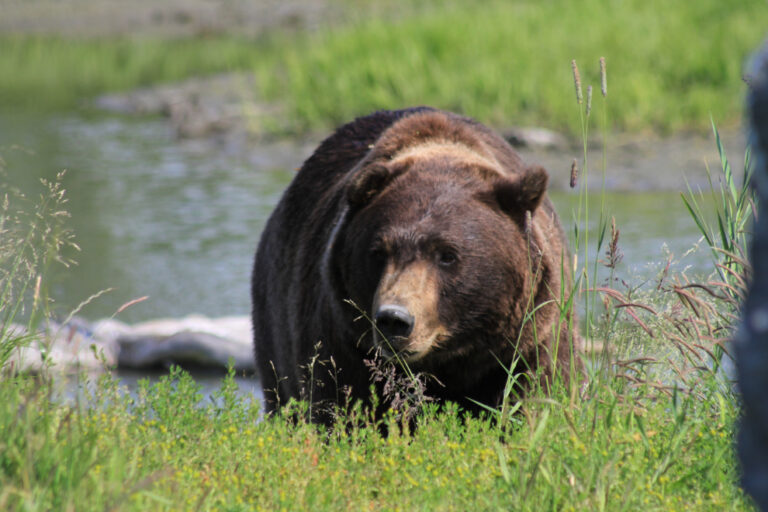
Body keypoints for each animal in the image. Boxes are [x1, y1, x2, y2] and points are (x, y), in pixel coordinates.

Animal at [254, 106, 584, 422]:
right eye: (378, 252)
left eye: (448, 255)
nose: (394, 319)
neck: (450, 359)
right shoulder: (343, 338)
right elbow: (341, 405)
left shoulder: (528, 338)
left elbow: (532, 397)